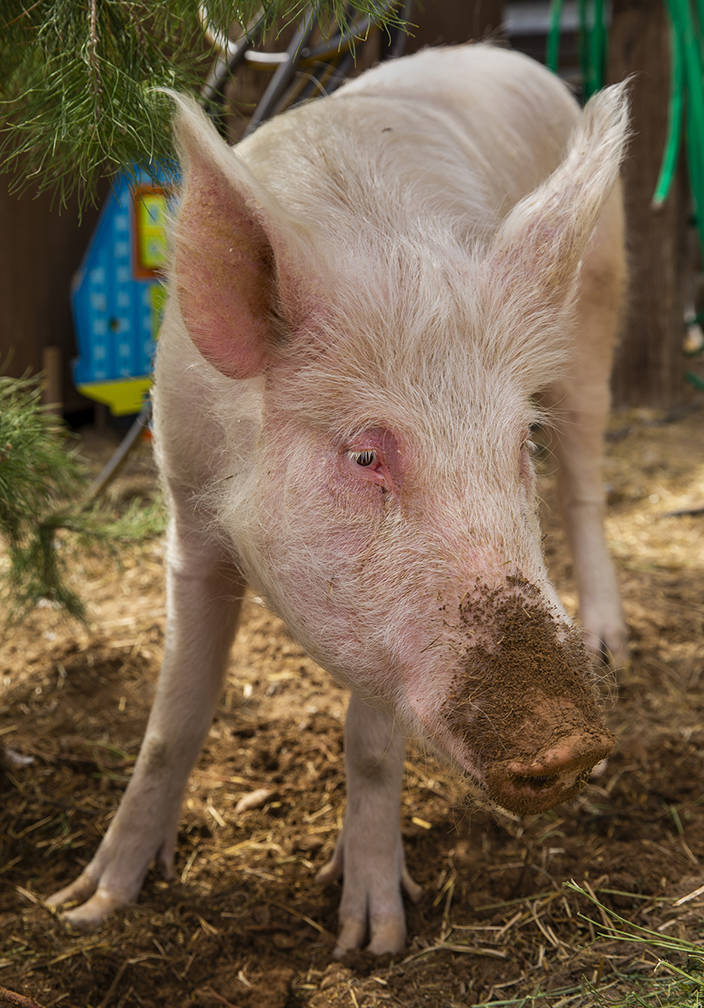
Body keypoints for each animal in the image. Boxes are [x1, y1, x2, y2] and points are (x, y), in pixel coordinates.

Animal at [48, 43, 629, 956]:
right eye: (364, 453)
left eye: (516, 443)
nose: (572, 744)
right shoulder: (187, 520)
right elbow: (172, 721)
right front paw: (87, 906)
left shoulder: (386, 629)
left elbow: (372, 746)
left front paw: (370, 941)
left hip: (597, 308)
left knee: (586, 484)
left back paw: (613, 644)